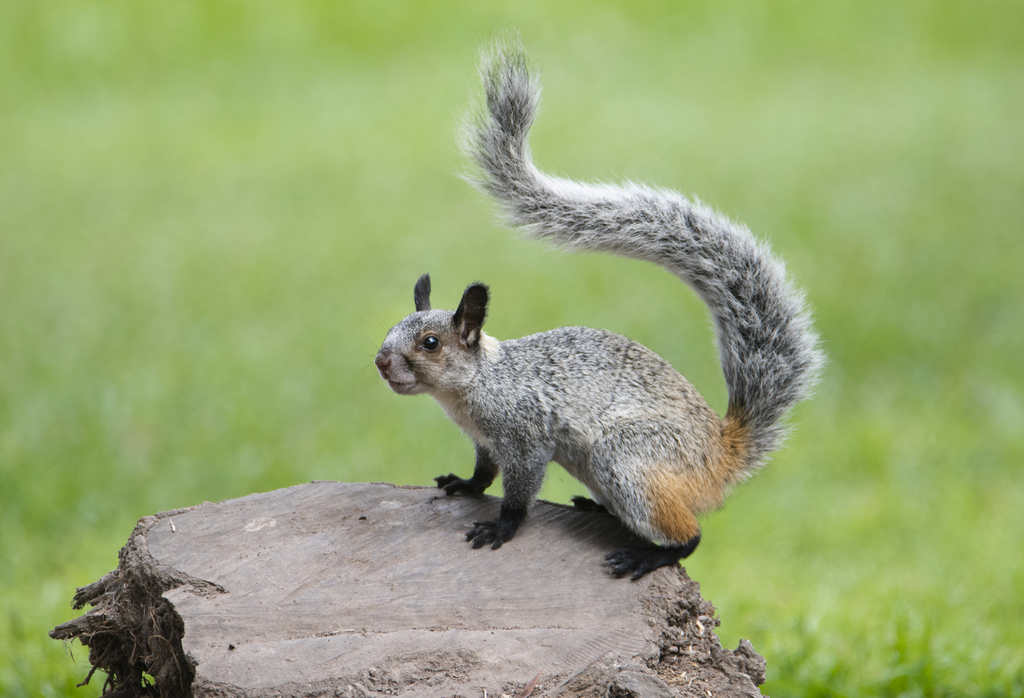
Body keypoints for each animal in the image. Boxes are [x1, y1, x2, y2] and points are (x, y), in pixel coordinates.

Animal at [374, 37, 823, 580]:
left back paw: (647, 554)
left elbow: (520, 491)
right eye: (394, 327)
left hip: (627, 459)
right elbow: (484, 471)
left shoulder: (526, 437)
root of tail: (720, 457)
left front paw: (501, 527)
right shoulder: (485, 440)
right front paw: (464, 484)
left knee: (690, 535)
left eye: (431, 343)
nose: (380, 362)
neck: (479, 386)